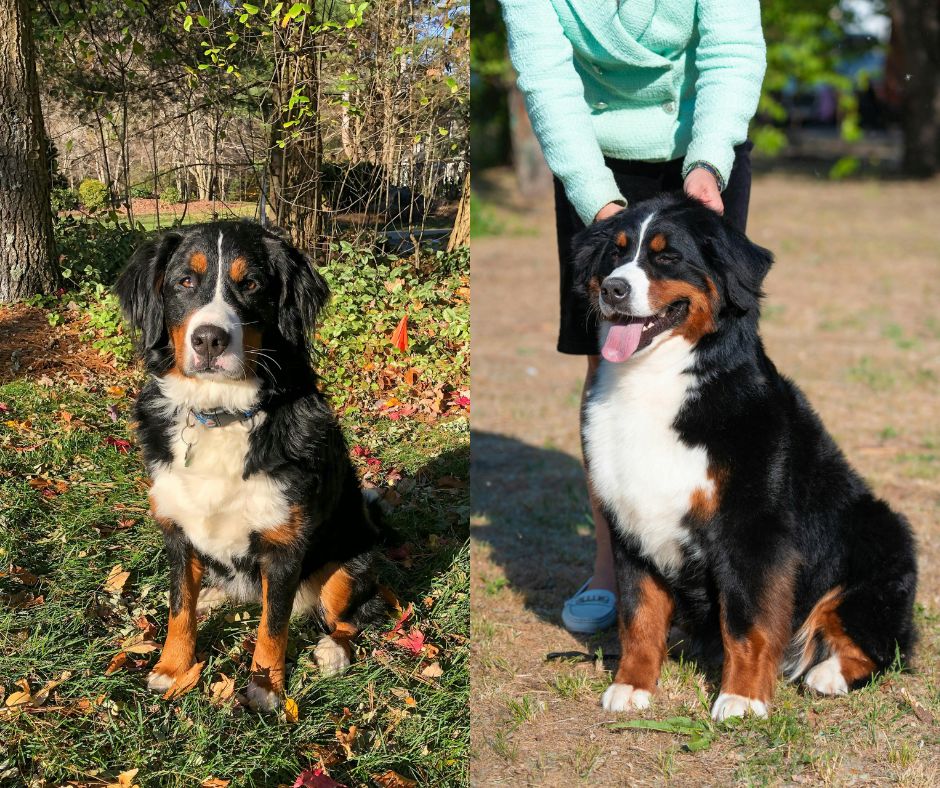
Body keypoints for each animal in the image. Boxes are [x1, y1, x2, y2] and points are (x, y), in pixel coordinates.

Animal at [116, 219, 386, 712]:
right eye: (185, 281)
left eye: (253, 285)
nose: (208, 339)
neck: (222, 414)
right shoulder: (177, 531)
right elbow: (179, 607)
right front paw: (172, 667)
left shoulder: (283, 547)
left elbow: (273, 625)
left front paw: (265, 688)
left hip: (348, 564)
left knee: (359, 613)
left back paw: (333, 650)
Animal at [572, 192, 916, 720]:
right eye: (616, 252)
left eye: (667, 257)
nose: (613, 289)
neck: (655, 382)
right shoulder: (630, 522)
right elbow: (639, 616)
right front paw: (632, 684)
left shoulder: (752, 527)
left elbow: (747, 621)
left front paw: (742, 697)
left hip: (878, 538)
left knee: (882, 644)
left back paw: (827, 673)